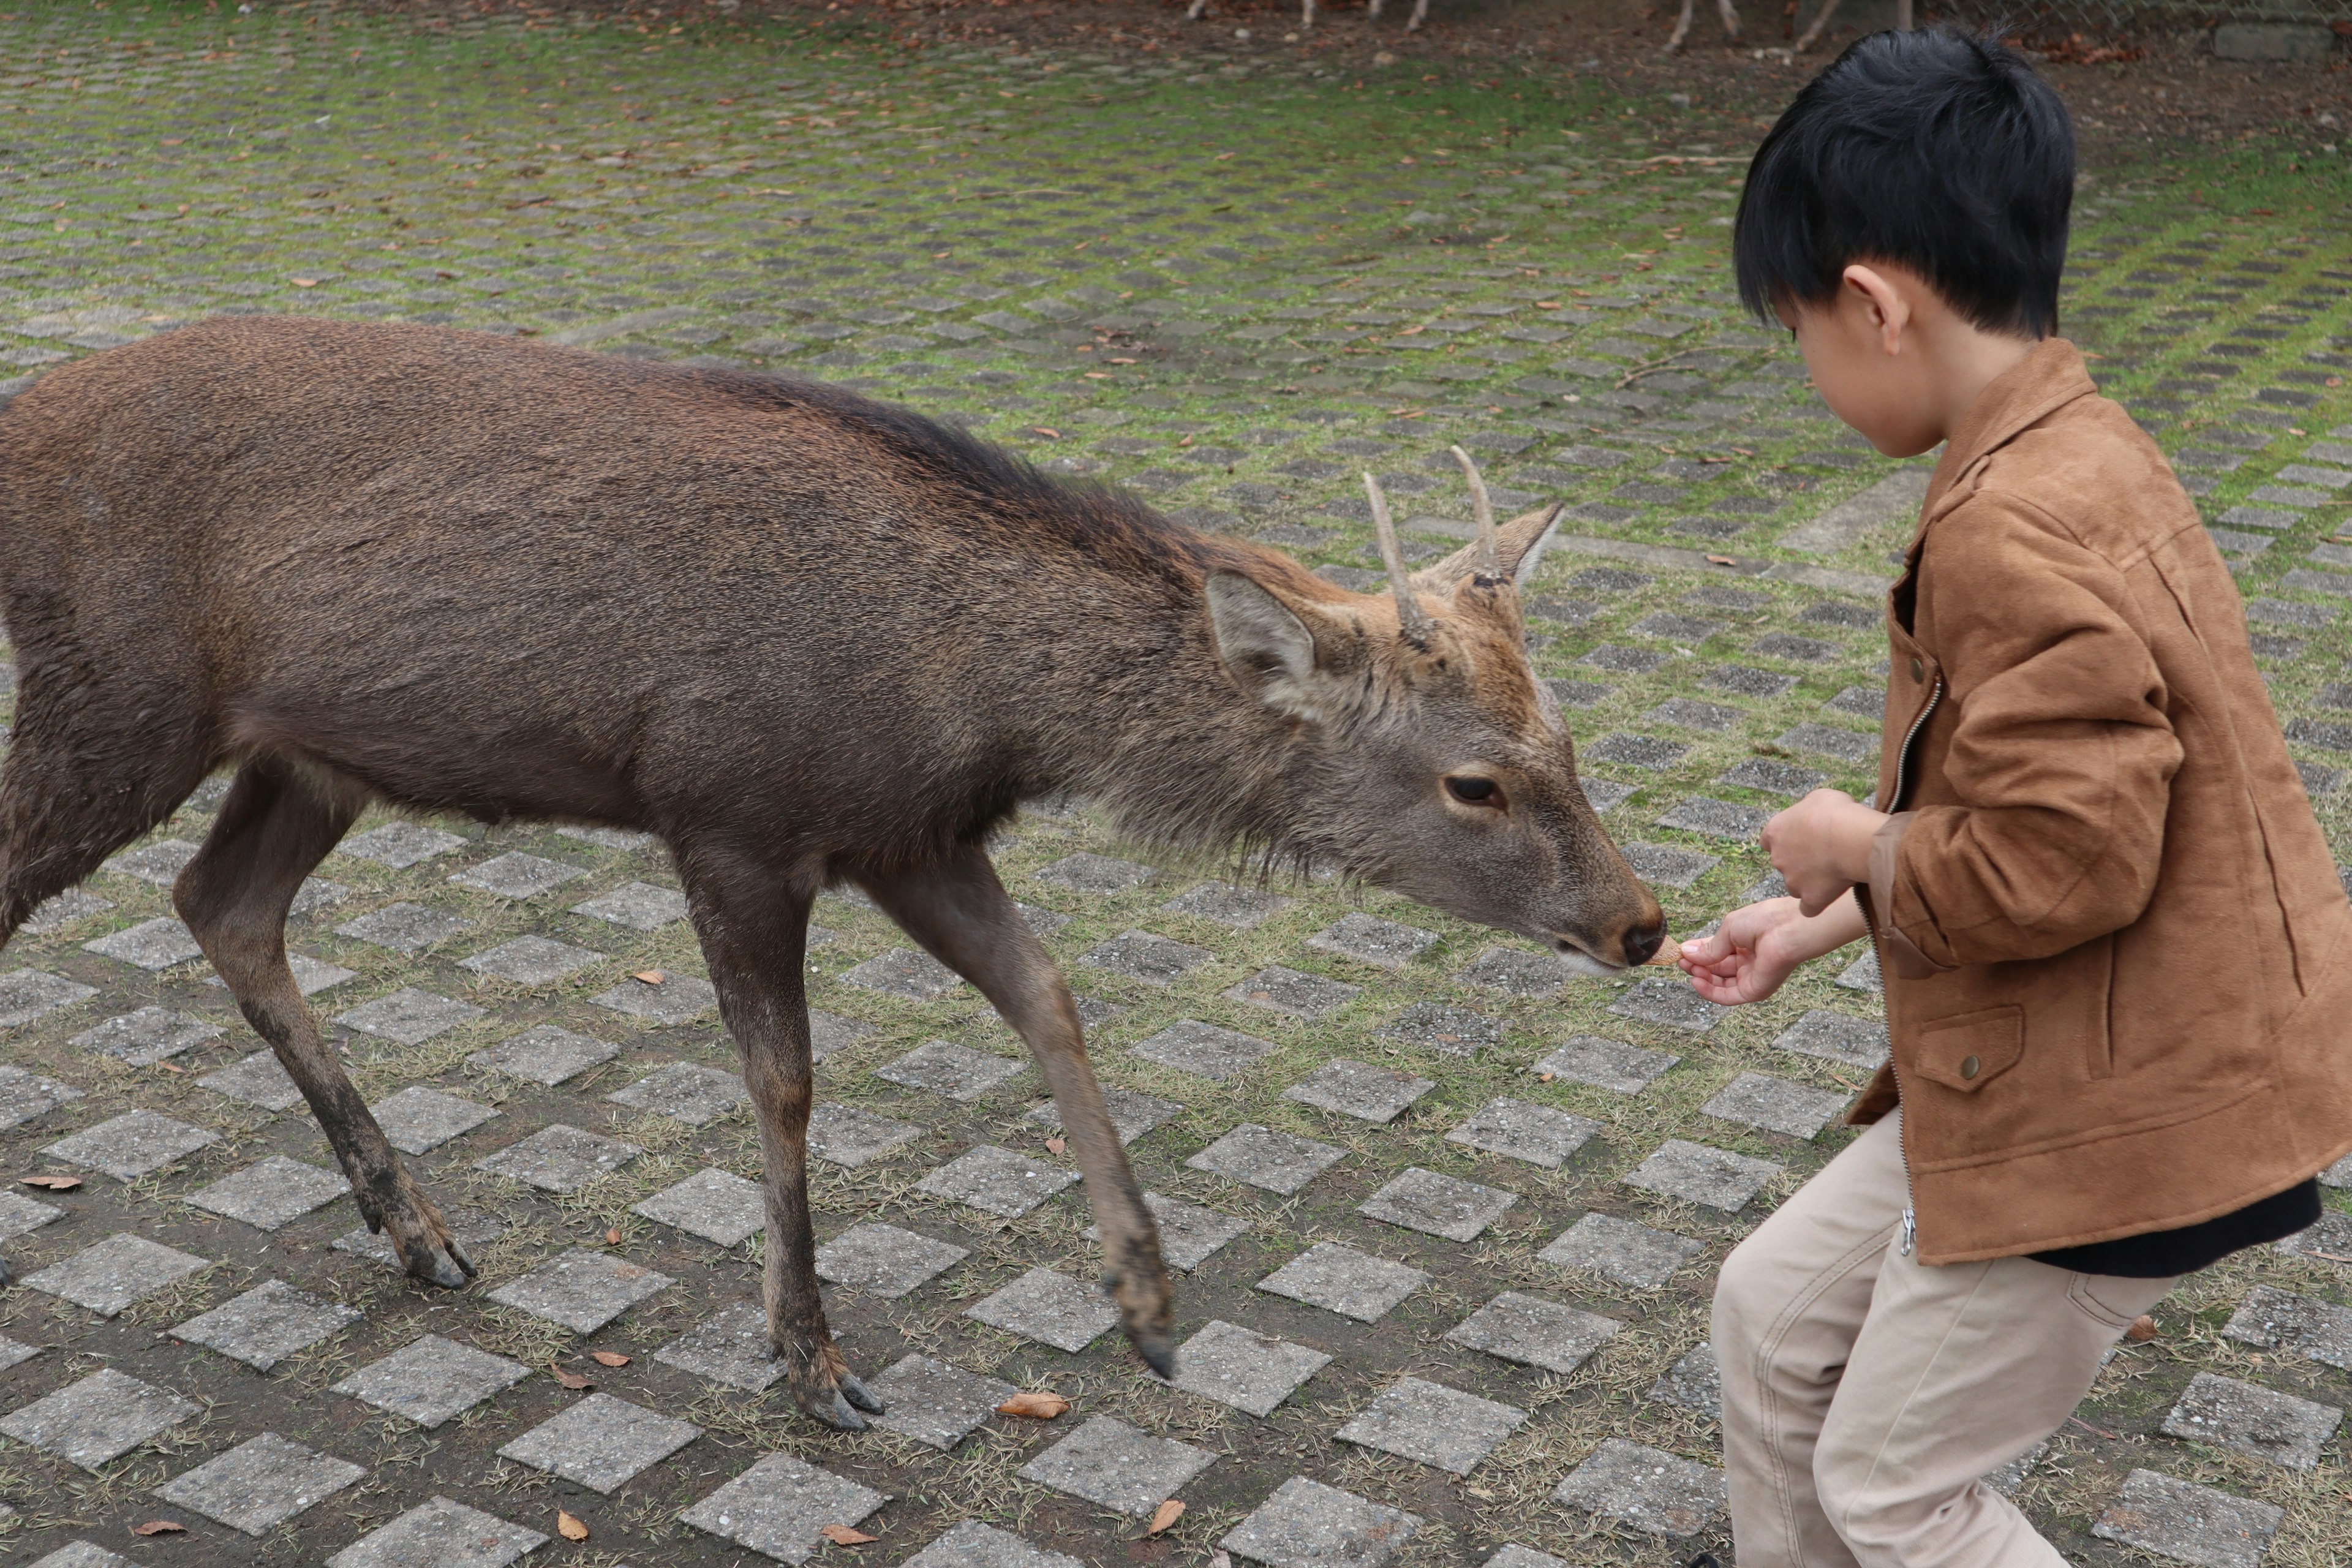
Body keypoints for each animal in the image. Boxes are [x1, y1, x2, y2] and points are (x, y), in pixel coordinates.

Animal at [0, 319, 1665, 1438]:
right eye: (1474, 778)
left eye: (1567, 735)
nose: (1641, 922)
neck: (963, 693)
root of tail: (19, 422)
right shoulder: (730, 808)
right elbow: (785, 1078)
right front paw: (809, 1356)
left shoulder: (908, 831)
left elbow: (1050, 992)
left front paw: (1148, 1306)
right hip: (113, 696)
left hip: (301, 748)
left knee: (223, 904)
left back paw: (414, 1224)